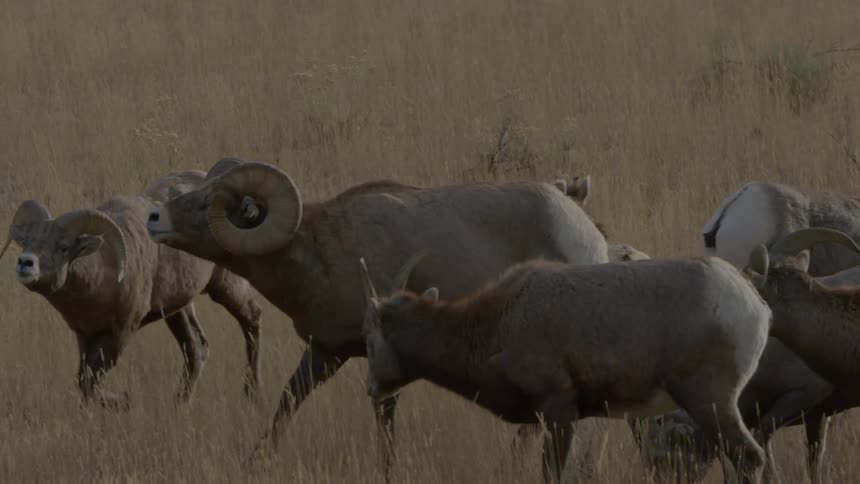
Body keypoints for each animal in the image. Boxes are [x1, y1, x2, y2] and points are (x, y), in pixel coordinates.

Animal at [0, 170, 263, 408]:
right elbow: (84, 381)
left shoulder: (119, 335)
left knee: (252, 318)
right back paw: (181, 404)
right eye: (27, 241)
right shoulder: (84, 336)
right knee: (196, 349)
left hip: (225, 287)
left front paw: (123, 401)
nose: (25, 263)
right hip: (178, 310)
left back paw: (252, 394)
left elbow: (89, 383)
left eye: (63, 247)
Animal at [144, 157, 609, 470]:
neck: (320, 251)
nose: (154, 217)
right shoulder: (325, 352)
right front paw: (255, 461)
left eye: (207, 203)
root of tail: (586, 232)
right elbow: (287, 402)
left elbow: (384, 421)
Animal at [358, 253, 771, 484]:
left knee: (750, 458)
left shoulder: (559, 412)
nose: (372, 389)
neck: (502, 317)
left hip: (710, 404)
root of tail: (755, 305)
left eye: (370, 337)